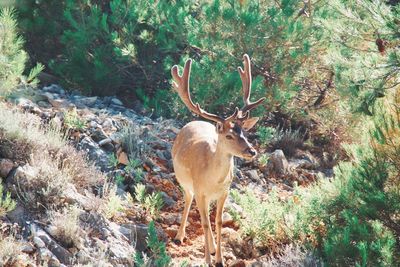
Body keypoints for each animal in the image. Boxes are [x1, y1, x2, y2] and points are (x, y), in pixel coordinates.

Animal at [170, 53, 264, 266]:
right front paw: (207, 260)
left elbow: (218, 221)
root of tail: (193, 121)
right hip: (186, 182)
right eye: (229, 136)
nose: (252, 151)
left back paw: (212, 247)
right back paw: (180, 236)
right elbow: (205, 223)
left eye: (244, 132)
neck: (213, 179)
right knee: (188, 201)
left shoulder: (224, 191)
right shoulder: (200, 190)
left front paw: (219, 258)